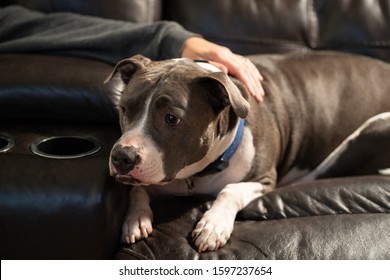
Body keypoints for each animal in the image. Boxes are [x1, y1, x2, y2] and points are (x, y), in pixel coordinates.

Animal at [104, 52, 390, 252]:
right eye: (124, 108)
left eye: (172, 118)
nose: (122, 157)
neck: (197, 175)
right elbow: (136, 189)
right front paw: (136, 219)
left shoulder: (263, 179)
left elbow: (231, 190)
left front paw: (213, 224)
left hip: (372, 129)